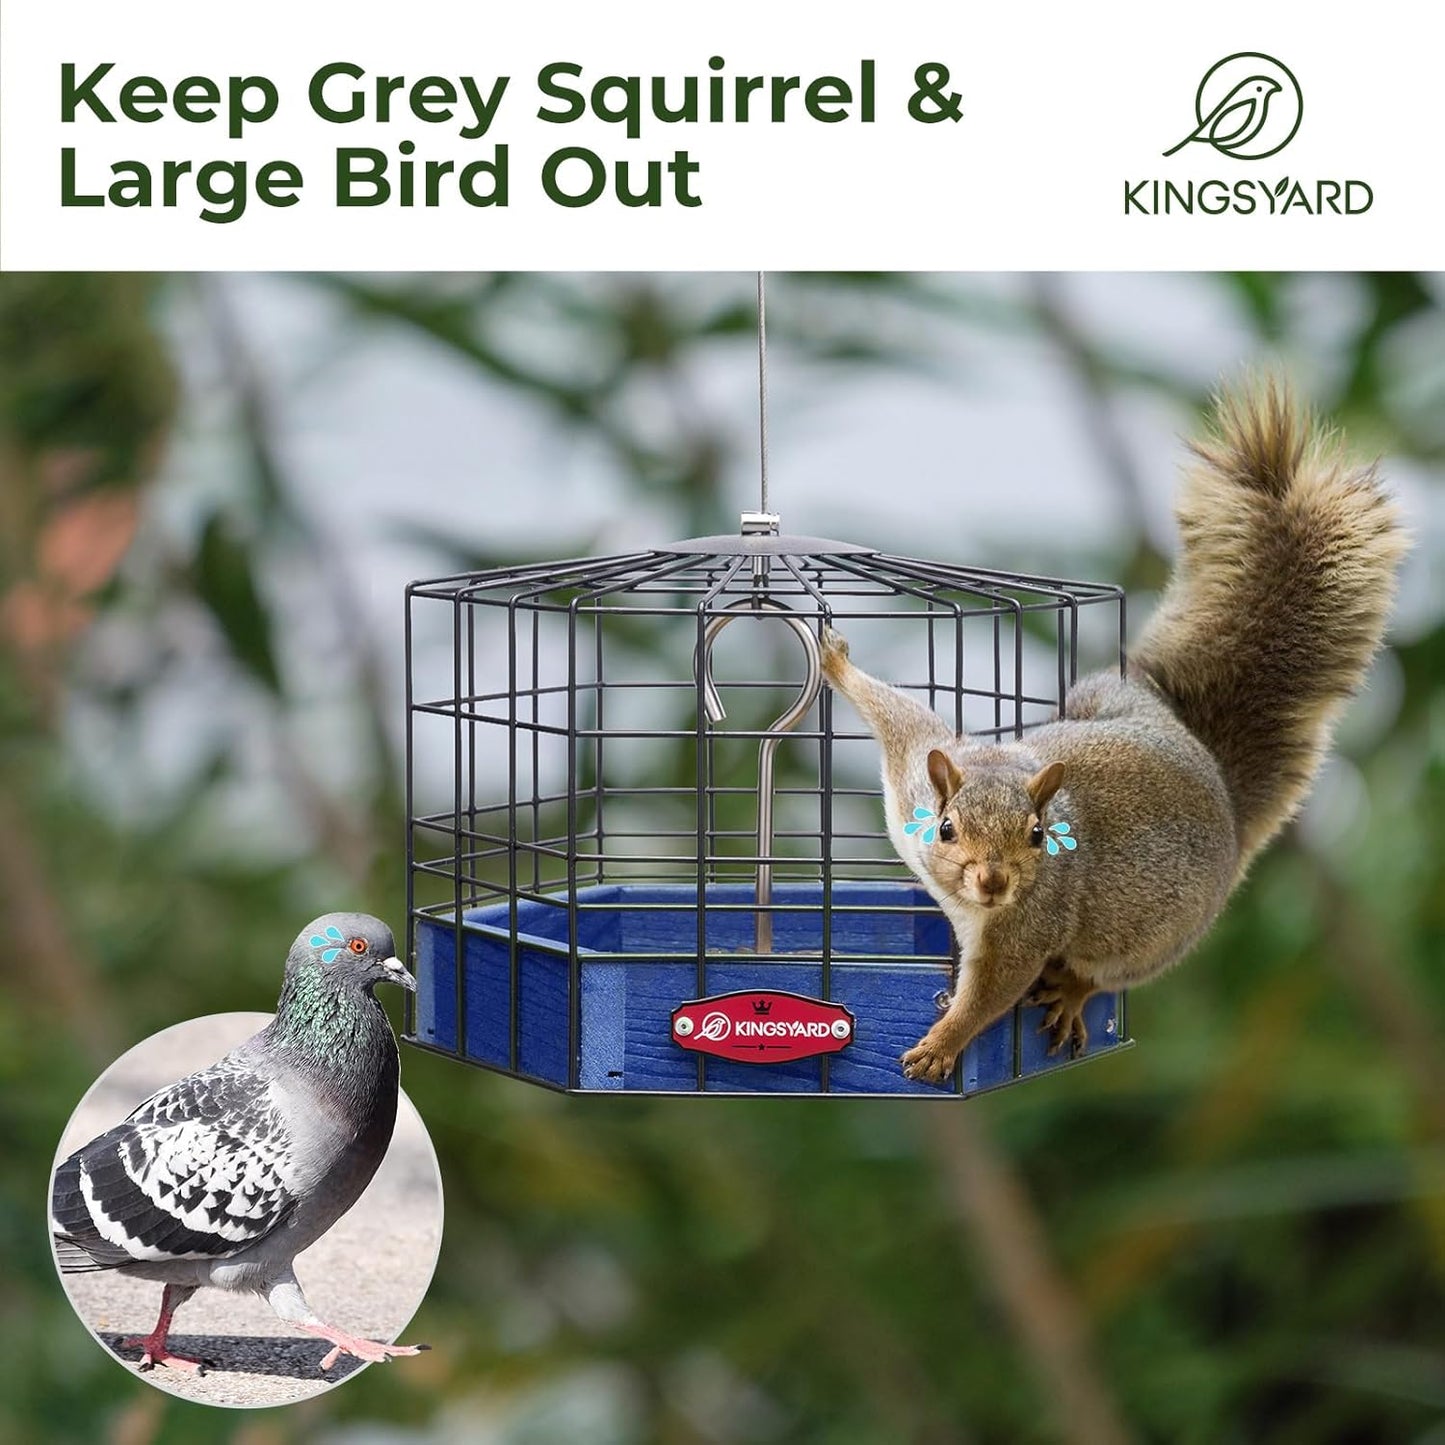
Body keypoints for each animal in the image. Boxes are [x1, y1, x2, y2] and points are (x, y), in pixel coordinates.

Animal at [820, 380, 1407, 1085]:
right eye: (946, 829)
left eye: (1038, 836)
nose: (994, 882)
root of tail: (1222, 795)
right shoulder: (914, 765)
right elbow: (896, 713)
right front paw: (834, 661)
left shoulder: (1028, 928)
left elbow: (992, 991)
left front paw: (941, 1045)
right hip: (1100, 696)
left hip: (1151, 938)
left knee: (1108, 973)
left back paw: (1074, 993)